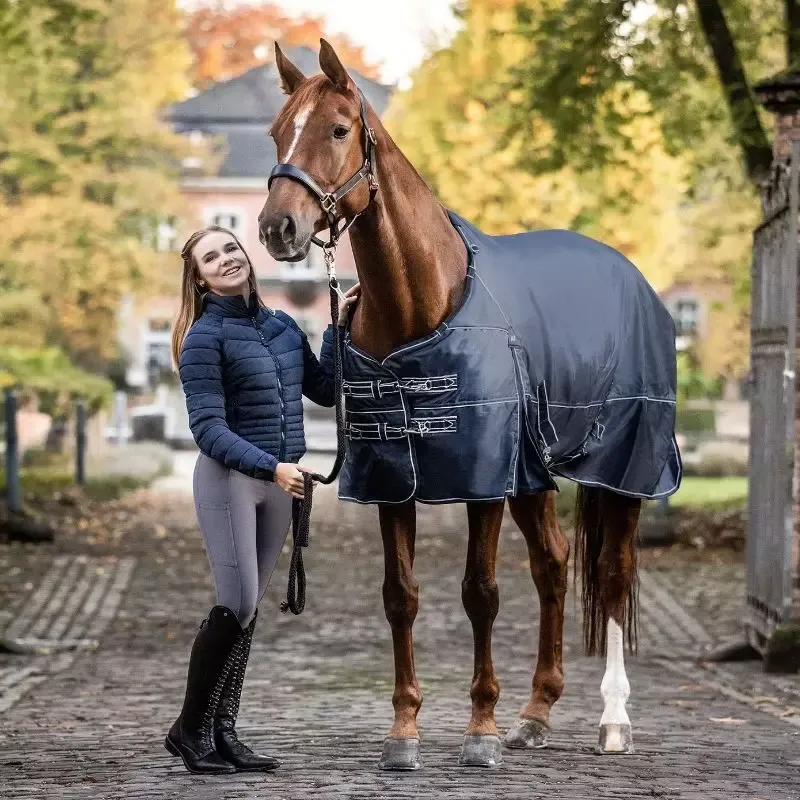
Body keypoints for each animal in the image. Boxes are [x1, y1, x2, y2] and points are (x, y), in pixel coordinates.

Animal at [258, 39, 681, 769]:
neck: (418, 307)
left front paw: (480, 730)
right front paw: (404, 731)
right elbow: (400, 597)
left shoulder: (483, 478)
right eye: (278, 131)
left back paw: (613, 721)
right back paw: (536, 714)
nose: (278, 227)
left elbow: (480, 594)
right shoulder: (394, 481)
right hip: (533, 473)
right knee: (554, 565)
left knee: (612, 573)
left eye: (337, 130)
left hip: (623, 467)